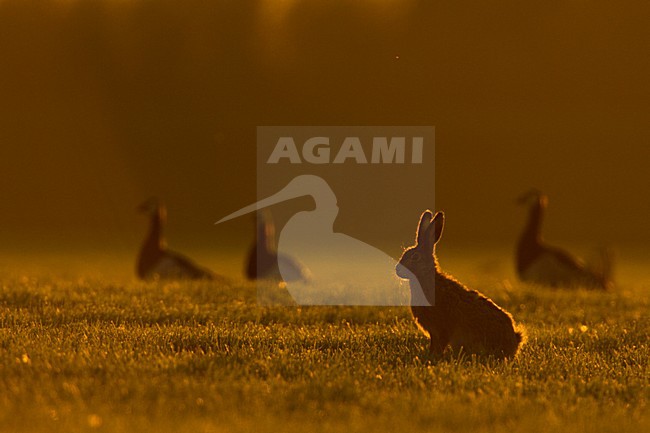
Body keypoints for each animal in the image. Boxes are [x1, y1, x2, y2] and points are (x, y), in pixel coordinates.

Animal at [396, 210, 524, 359]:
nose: (397, 270)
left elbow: (440, 344)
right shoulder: (434, 332)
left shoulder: (443, 327)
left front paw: (434, 356)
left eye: (415, 257)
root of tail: (515, 341)